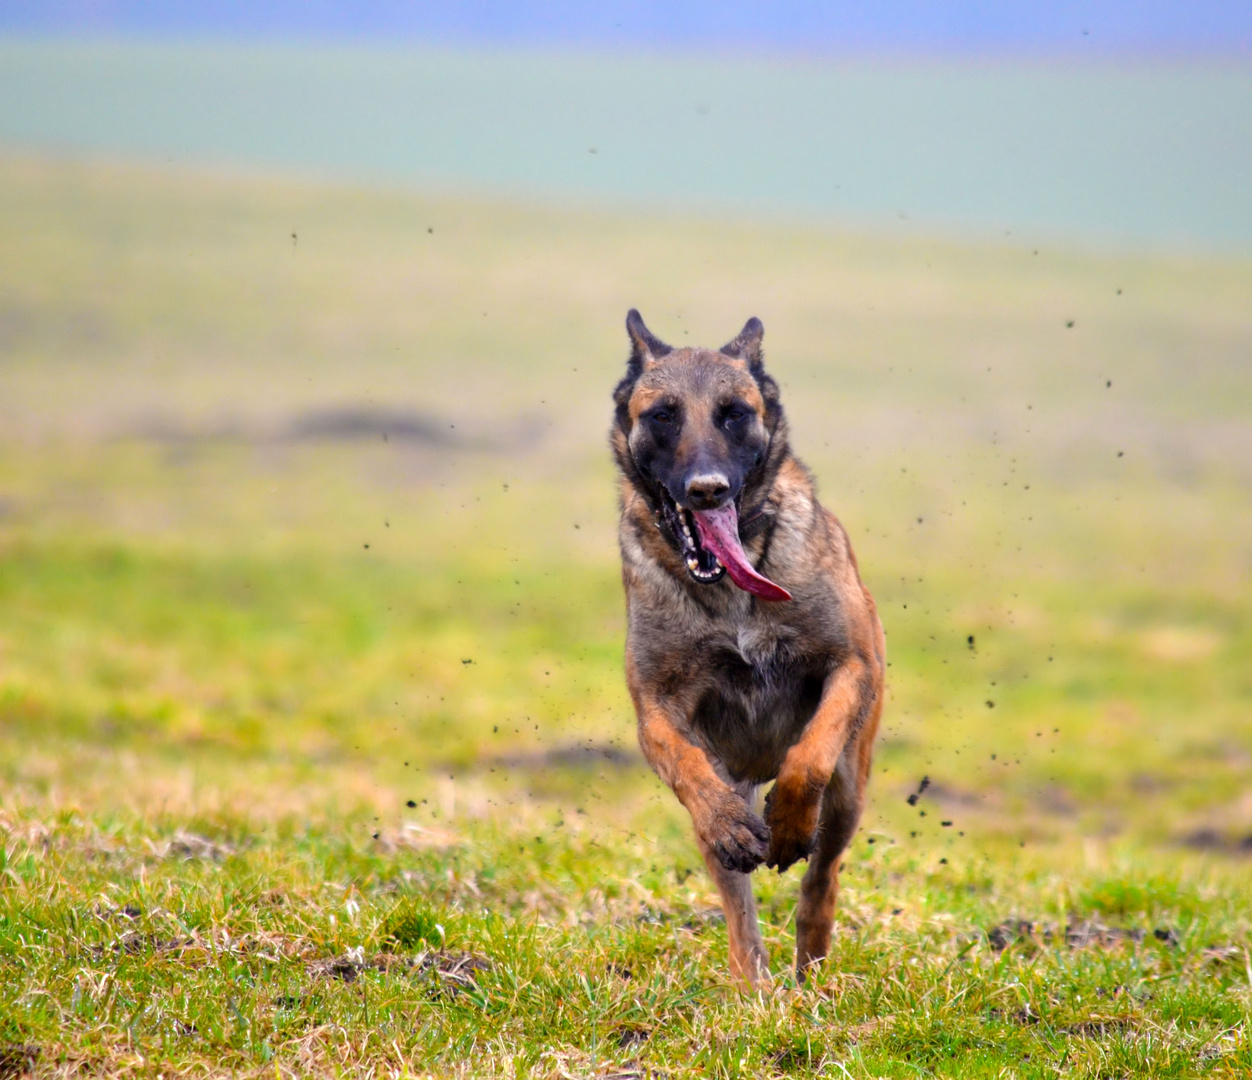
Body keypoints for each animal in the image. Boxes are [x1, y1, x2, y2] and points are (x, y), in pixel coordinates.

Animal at [610, 310, 886, 986]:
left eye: (734, 413)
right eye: (663, 415)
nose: (707, 490)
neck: (732, 588)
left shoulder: (850, 668)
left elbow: (808, 757)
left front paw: (787, 823)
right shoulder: (657, 710)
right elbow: (687, 765)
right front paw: (733, 825)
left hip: (849, 792)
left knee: (821, 882)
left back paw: (810, 975)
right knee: (739, 909)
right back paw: (751, 983)